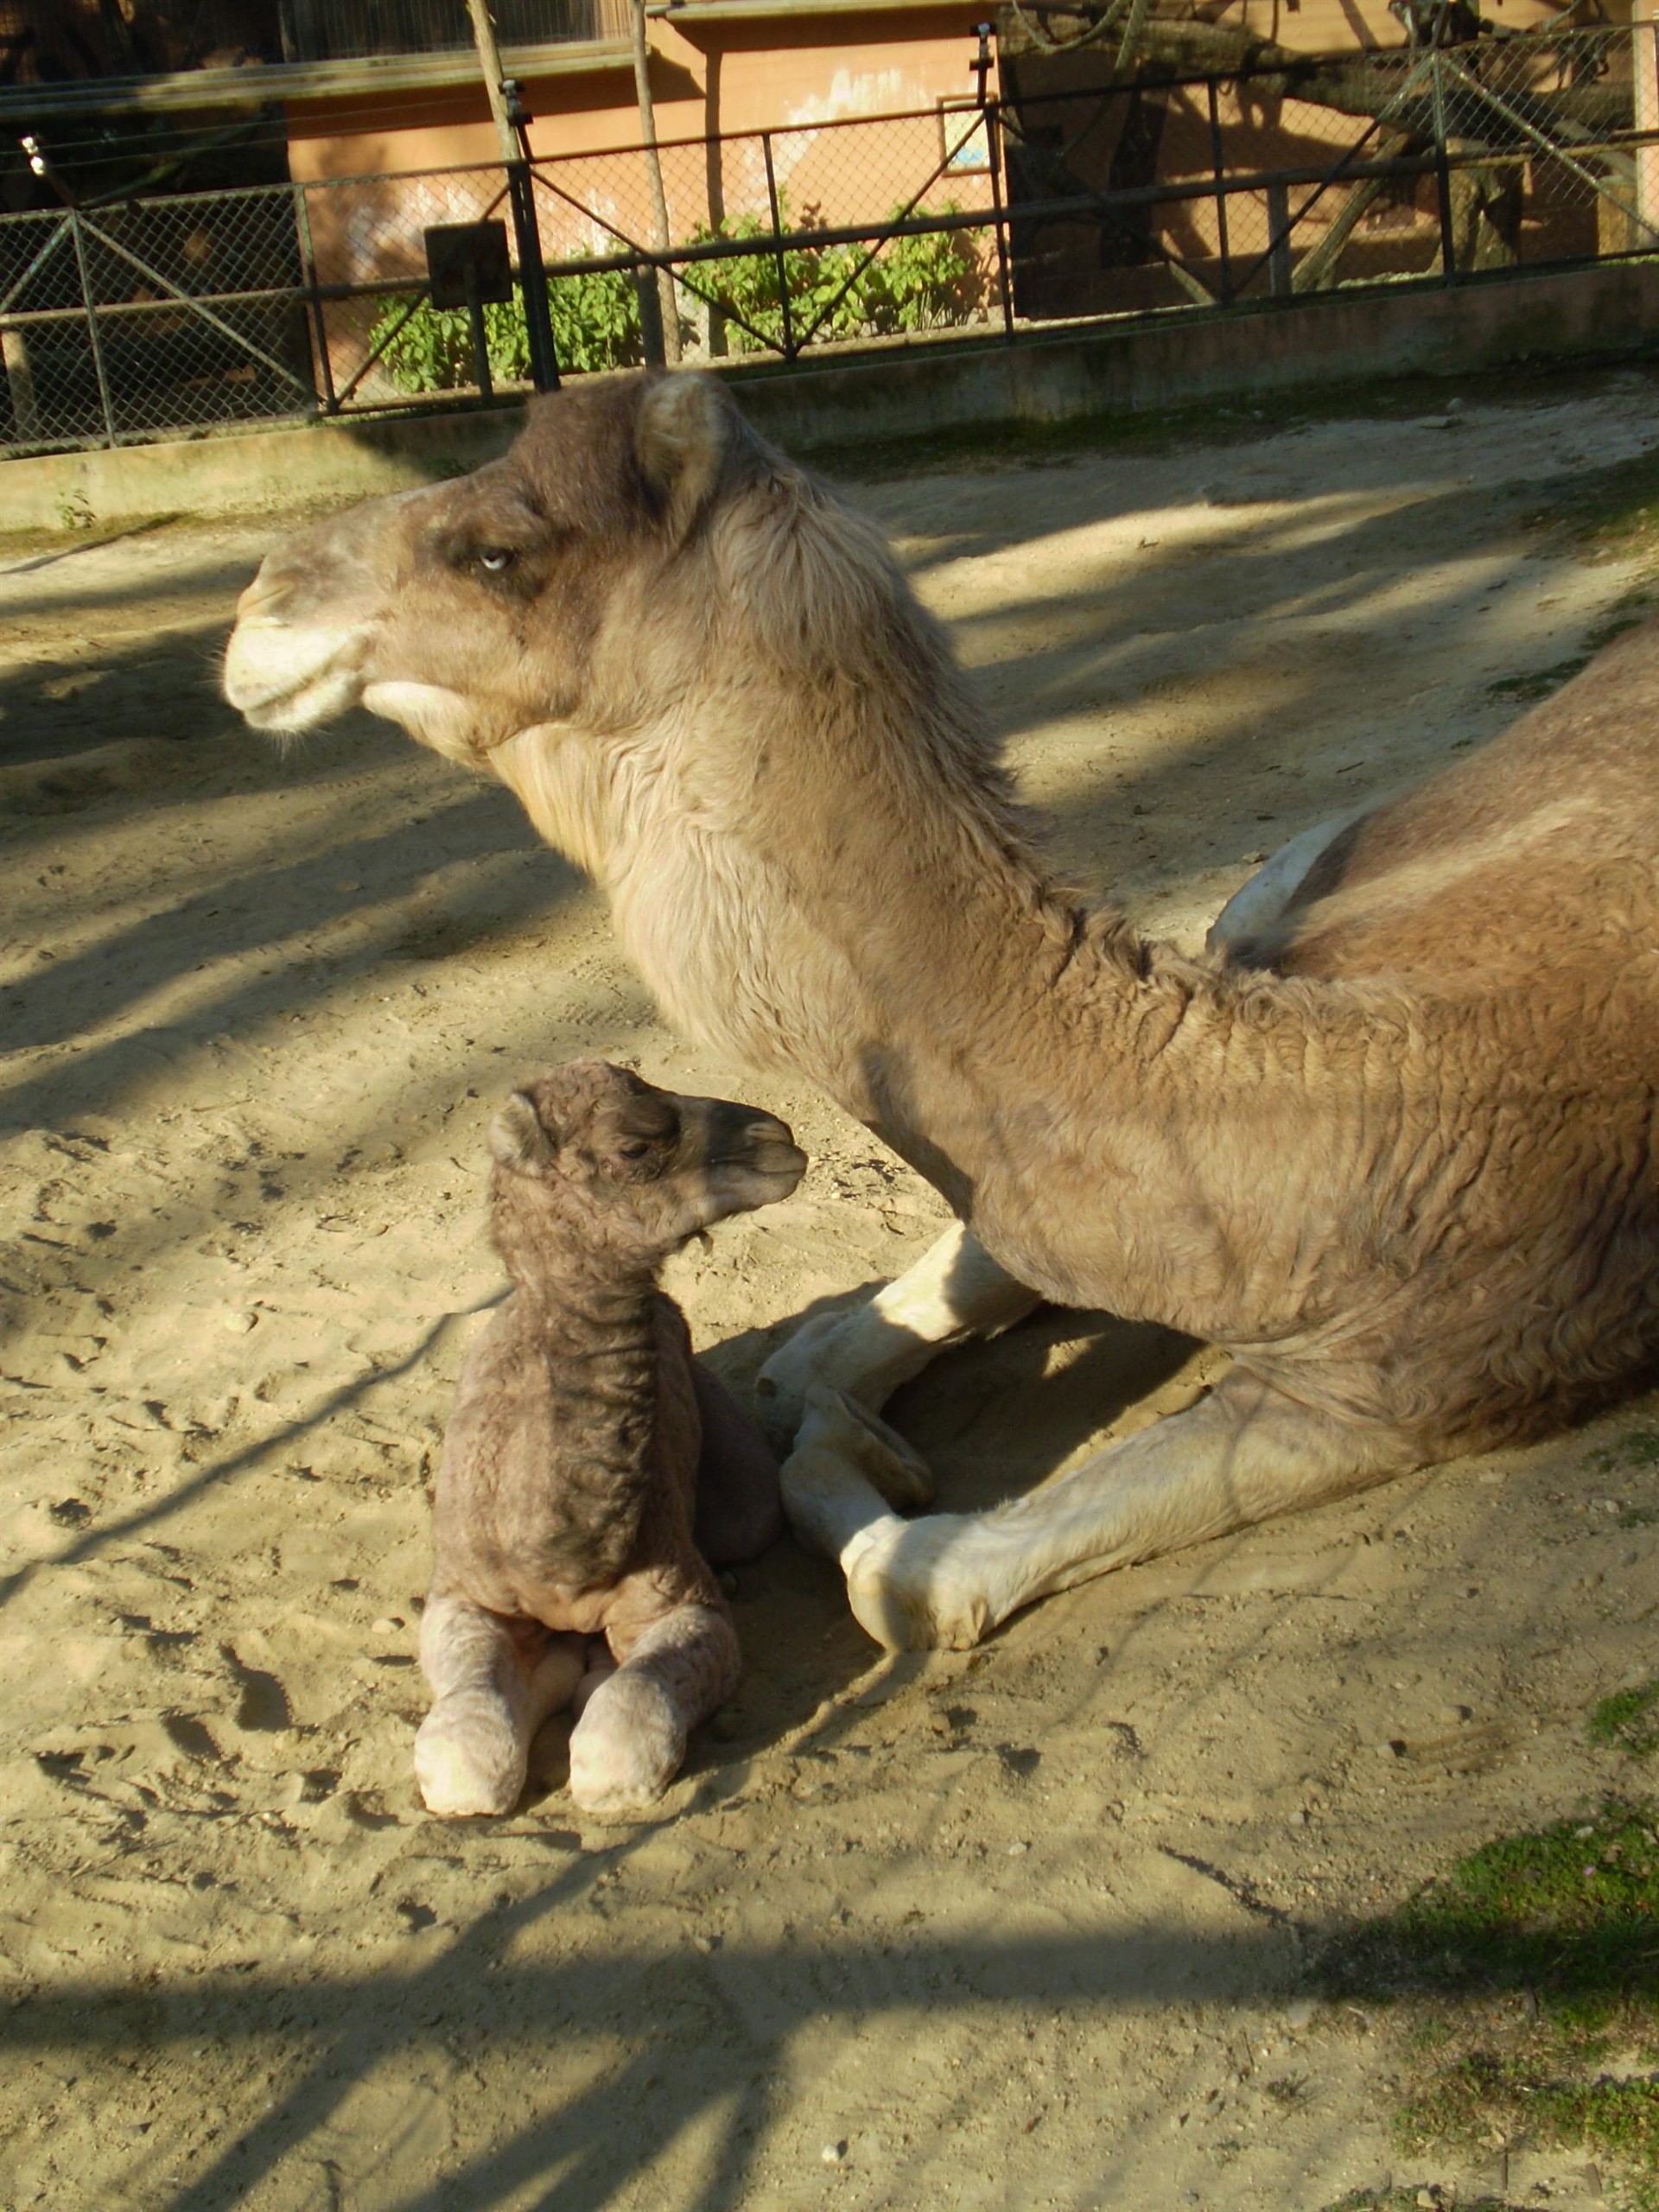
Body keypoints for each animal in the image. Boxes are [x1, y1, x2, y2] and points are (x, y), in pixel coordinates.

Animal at [224, 370, 1659, 1655]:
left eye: (496, 550)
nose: (256, 603)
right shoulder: (1065, 1185)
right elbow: (808, 1361)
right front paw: (856, 1415)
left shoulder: (1414, 1386)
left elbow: (913, 1579)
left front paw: (875, 1469)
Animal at [417, 1060, 807, 1820]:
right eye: (634, 1146)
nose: (779, 1136)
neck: (557, 1560)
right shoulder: (461, 1592)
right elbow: (464, 1755)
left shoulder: (679, 1599)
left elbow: (624, 1727)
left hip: (743, 1494)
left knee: (750, 1514)